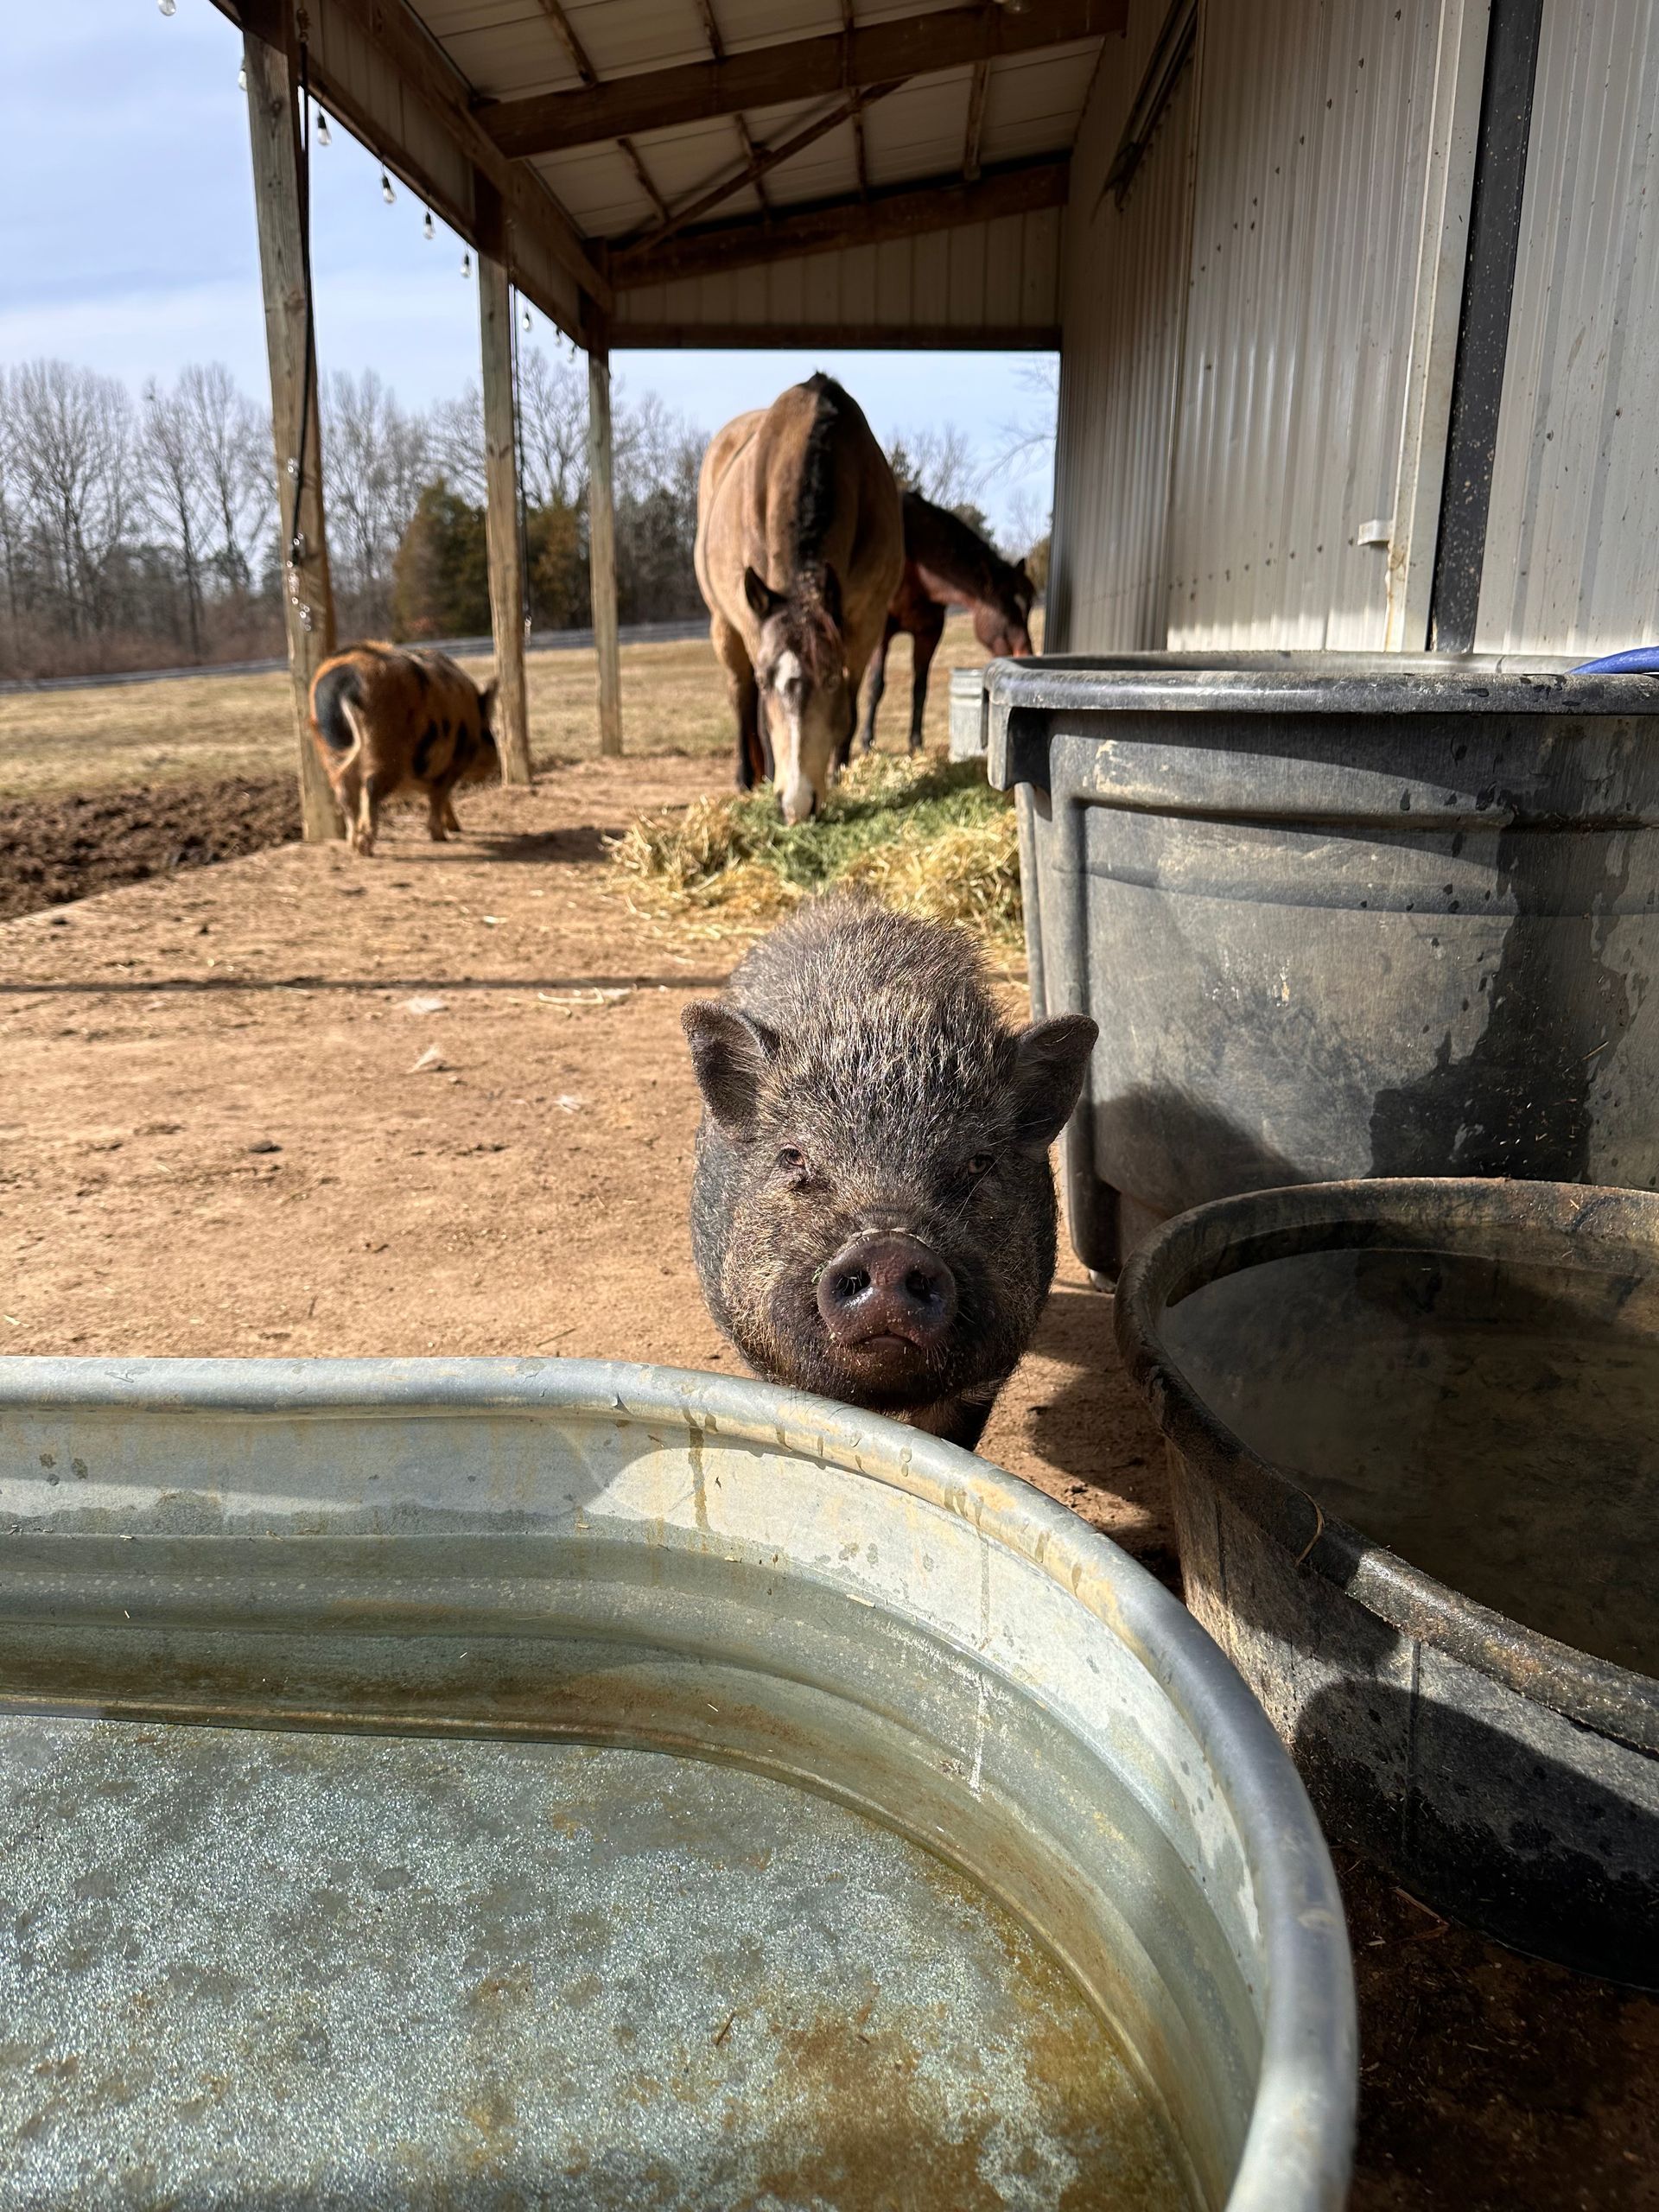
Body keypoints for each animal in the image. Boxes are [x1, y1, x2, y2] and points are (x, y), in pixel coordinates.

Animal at [308, 643, 499, 856]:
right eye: (487, 729)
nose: (496, 758)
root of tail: (343, 685)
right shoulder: (453, 763)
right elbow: (440, 795)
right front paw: (442, 836)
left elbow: (439, 796)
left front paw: (454, 827)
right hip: (381, 743)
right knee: (370, 788)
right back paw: (365, 848)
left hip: (330, 753)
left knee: (344, 793)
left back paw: (352, 843)